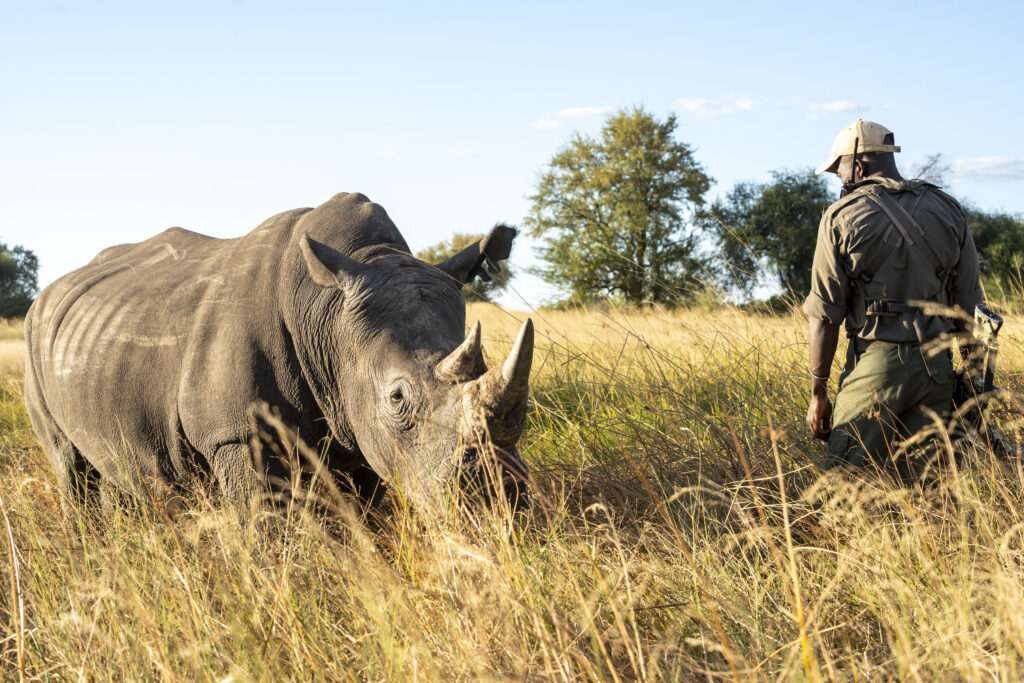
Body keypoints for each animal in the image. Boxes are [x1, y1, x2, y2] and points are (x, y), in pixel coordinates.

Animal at [24, 192, 533, 511]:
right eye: (397, 397)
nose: (502, 497)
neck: (328, 317)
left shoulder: (356, 426)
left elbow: (363, 519)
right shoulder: (237, 432)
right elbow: (268, 530)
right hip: (34, 339)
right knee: (71, 469)